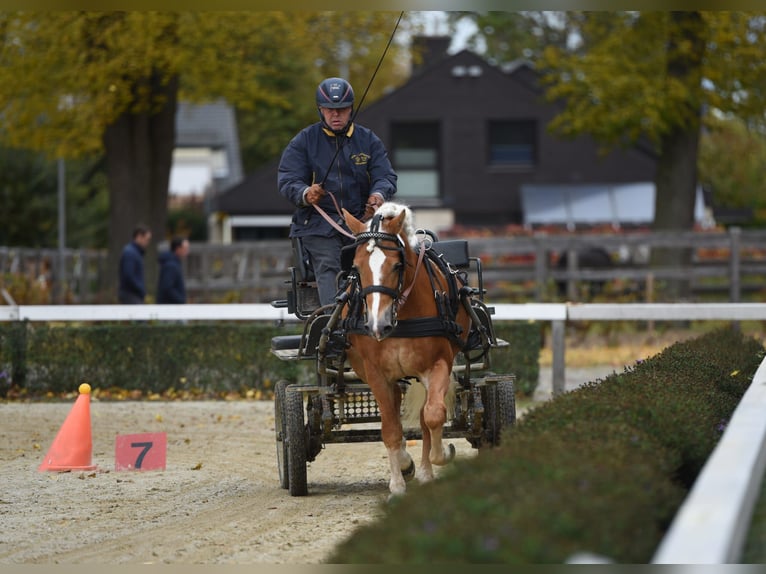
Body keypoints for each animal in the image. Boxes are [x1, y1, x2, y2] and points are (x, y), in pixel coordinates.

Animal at [342, 202, 474, 500]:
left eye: (396, 264)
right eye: (356, 267)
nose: (377, 325)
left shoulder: (437, 365)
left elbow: (433, 415)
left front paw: (441, 455)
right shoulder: (377, 375)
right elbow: (390, 430)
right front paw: (398, 483)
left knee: (425, 417)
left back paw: (424, 472)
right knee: (394, 414)